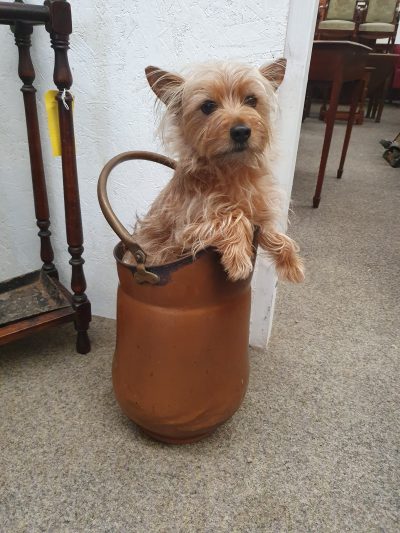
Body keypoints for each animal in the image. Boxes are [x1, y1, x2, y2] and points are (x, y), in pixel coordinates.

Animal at [123, 58, 304, 282]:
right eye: (208, 106)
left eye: (251, 100)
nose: (241, 131)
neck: (233, 171)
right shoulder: (182, 234)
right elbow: (234, 217)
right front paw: (239, 262)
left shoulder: (261, 212)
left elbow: (272, 231)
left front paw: (291, 262)